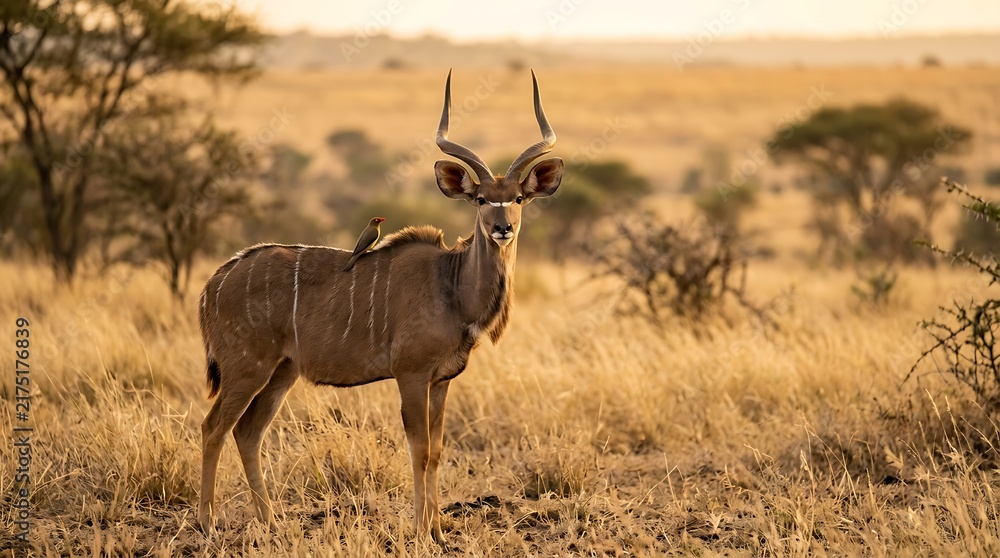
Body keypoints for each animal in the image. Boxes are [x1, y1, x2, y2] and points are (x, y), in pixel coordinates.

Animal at [196, 70, 563, 542]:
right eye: (481, 198)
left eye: (518, 198)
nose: (502, 229)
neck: (452, 285)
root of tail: (215, 281)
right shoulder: (411, 374)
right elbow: (419, 449)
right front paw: (422, 532)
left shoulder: (441, 380)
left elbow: (437, 450)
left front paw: (438, 531)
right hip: (246, 368)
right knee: (214, 428)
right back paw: (207, 523)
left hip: (282, 372)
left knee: (248, 432)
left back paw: (271, 522)